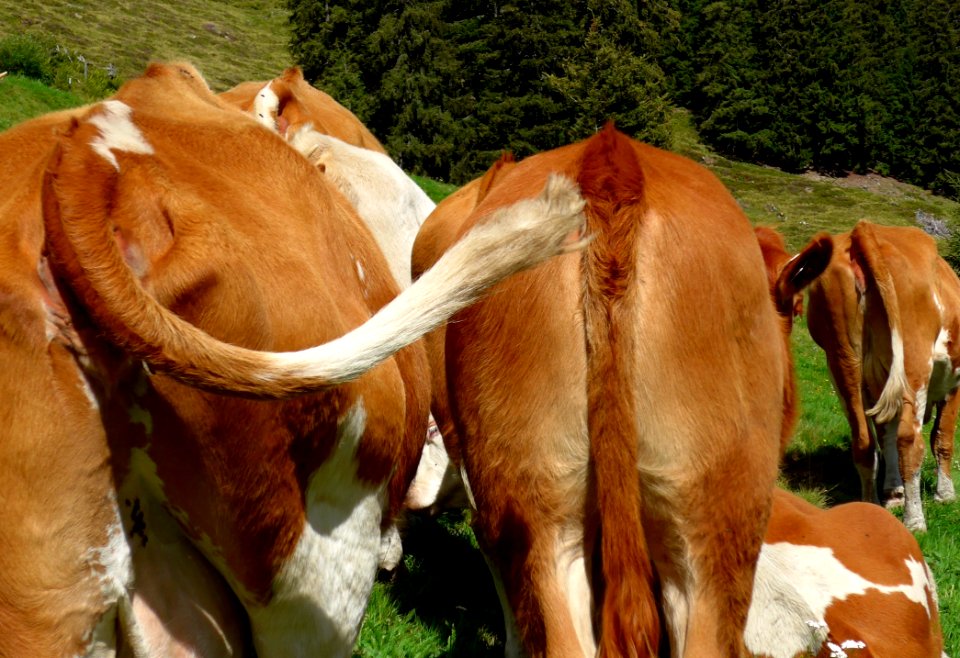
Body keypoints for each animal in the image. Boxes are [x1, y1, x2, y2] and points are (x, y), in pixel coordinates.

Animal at [808, 219, 956, 528]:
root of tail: (865, 229)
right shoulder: (954, 382)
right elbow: (942, 437)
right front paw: (945, 495)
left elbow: (885, 437)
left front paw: (894, 493)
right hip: (913, 361)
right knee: (909, 440)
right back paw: (915, 521)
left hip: (842, 361)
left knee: (864, 441)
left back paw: (871, 507)